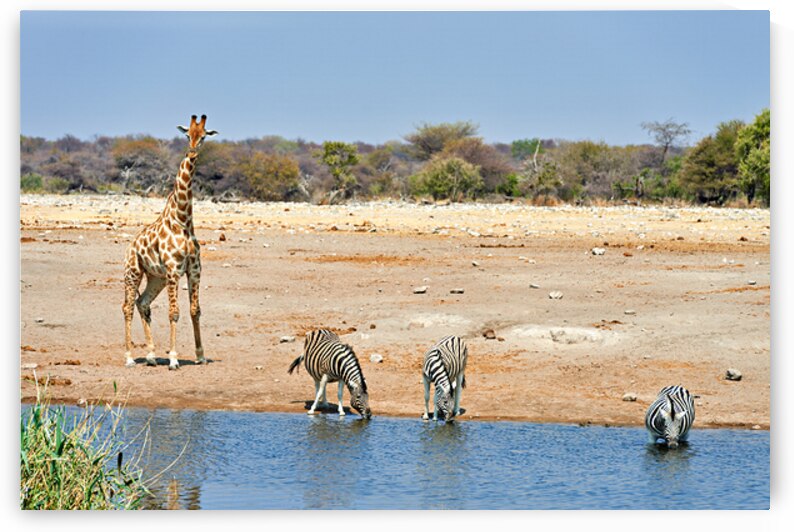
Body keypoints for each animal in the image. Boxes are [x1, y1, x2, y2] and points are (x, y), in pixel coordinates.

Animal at [122, 114, 218, 370]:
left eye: (203, 136)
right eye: (187, 135)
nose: (192, 153)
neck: (182, 219)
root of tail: (130, 247)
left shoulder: (194, 269)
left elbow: (195, 310)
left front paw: (200, 355)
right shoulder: (174, 269)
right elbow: (174, 312)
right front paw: (174, 358)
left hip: (157, 278)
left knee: (142, 303)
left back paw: (151, 355)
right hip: (133, 272)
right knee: (127, 307)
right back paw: (129, 357)